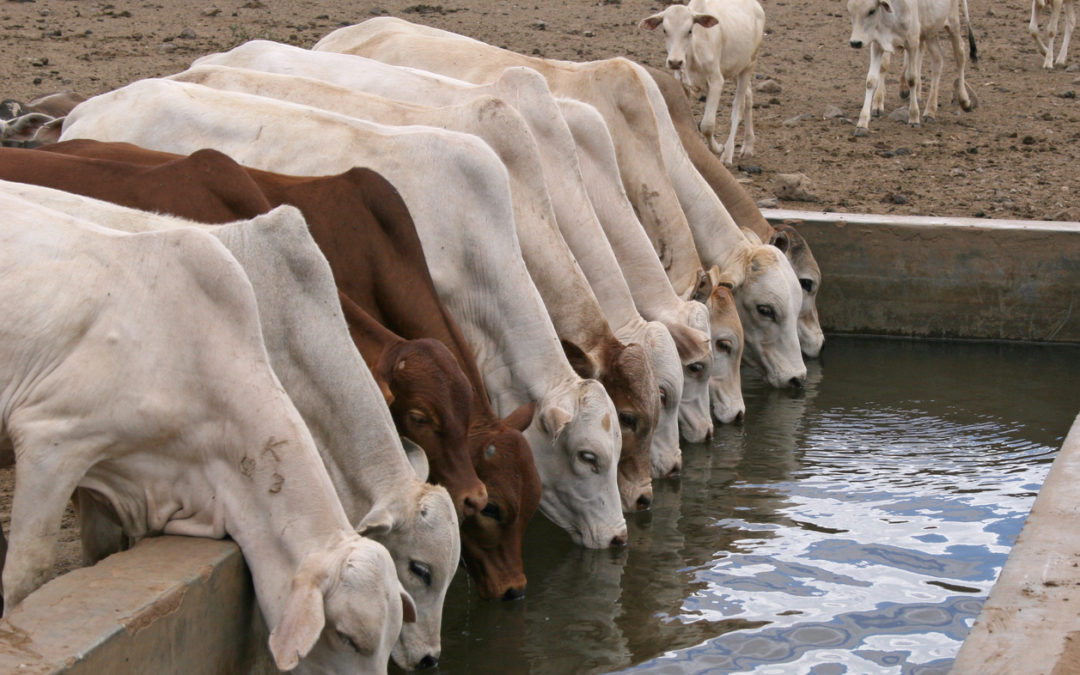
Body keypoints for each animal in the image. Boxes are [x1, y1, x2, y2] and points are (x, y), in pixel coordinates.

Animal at [639, 0, 768, 165]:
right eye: (664, 30)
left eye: (689, 30)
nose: (675, 62)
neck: (693, 52)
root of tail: (756, 6)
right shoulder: (682, 83)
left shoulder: (716, 80)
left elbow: (707, 125)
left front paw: (718, 148)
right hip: (735, 68)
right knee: (749, 96)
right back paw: (748, 146)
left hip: (749, 64)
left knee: (738, 106)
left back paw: (728, 154)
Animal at [842, 0, 980, 135]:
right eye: (850, 10)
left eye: (871, 11)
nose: (855, 43)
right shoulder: (877, 44)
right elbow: (871, 80)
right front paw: (863, 123)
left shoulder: (912, 42)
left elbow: (912, 78)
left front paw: (914, 117)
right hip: (929, 32)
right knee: (938, 59)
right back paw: (930, 111)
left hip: (953, 24)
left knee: (960, 55)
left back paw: (964, 101)